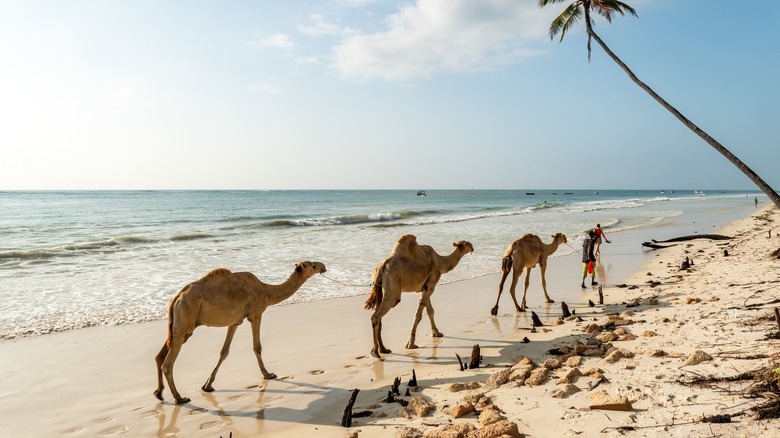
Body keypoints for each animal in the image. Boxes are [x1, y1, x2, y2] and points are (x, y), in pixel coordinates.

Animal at [154, 260, 324, 404]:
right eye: (313, 265)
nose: (323, 266)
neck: (266, 291)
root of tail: (175, 299)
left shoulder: (235, 321)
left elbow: (224, 351)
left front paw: (208, 385)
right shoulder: (256, 314)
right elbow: (257, 346)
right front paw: (268, 374)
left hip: (178, 325)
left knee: (160, 356)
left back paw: (159, 393)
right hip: (185, 321)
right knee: (168, 364)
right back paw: (179, 398)